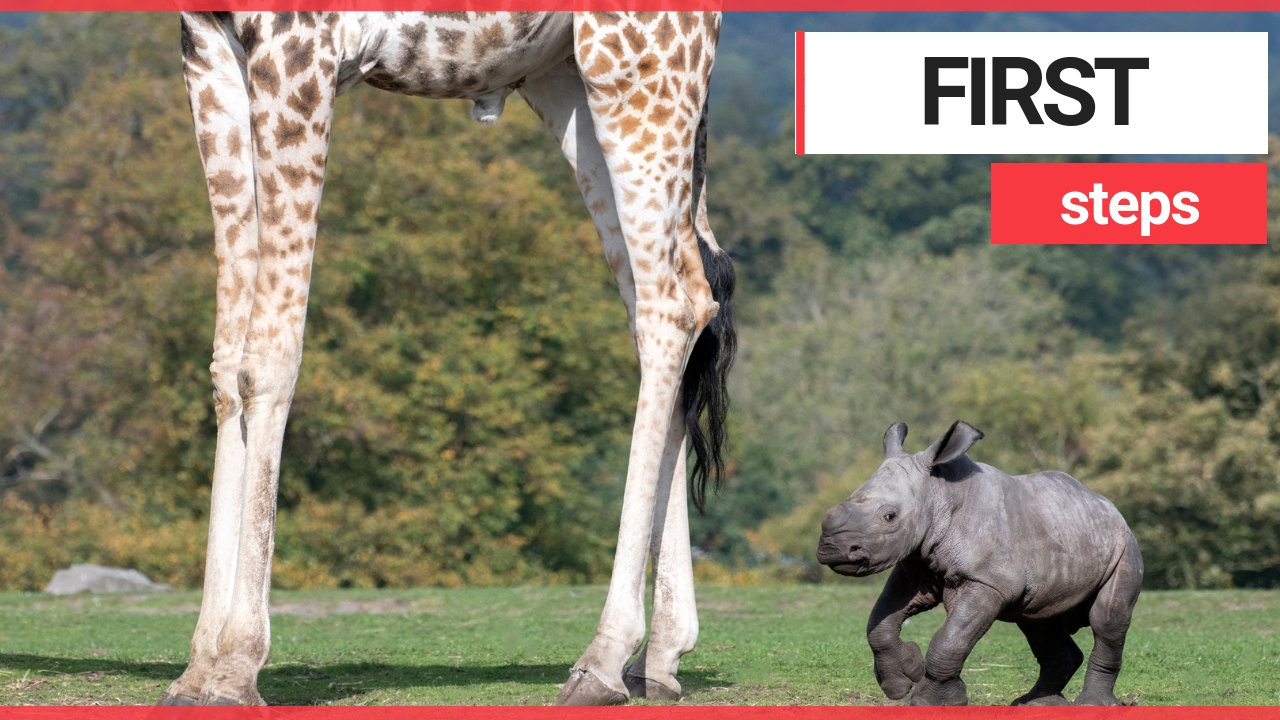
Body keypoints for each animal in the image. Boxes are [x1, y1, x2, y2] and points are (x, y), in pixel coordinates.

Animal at [165, 9, 737, 707]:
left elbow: (267, 358)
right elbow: (226, 366)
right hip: (567, 78)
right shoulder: (205, 46)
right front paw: (197, 669)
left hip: (633, 63)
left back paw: (601, 661)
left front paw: (236, 667)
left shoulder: (297, 46)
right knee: (673, 296)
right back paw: (658, 657)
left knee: (671, 305)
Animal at [824, 417, 1146, 702]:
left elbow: (949, 641)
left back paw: (1091, 704)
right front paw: (900, 684)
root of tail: (1109, 506)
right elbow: (879, 623)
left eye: (890, 516)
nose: (831, 548)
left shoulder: (986, 581)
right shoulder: (915, 567)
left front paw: (932, 702)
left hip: (1124, 546)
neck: (941, 494)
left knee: (1107, 619)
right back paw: (1035, 704)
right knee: (1038, 620)